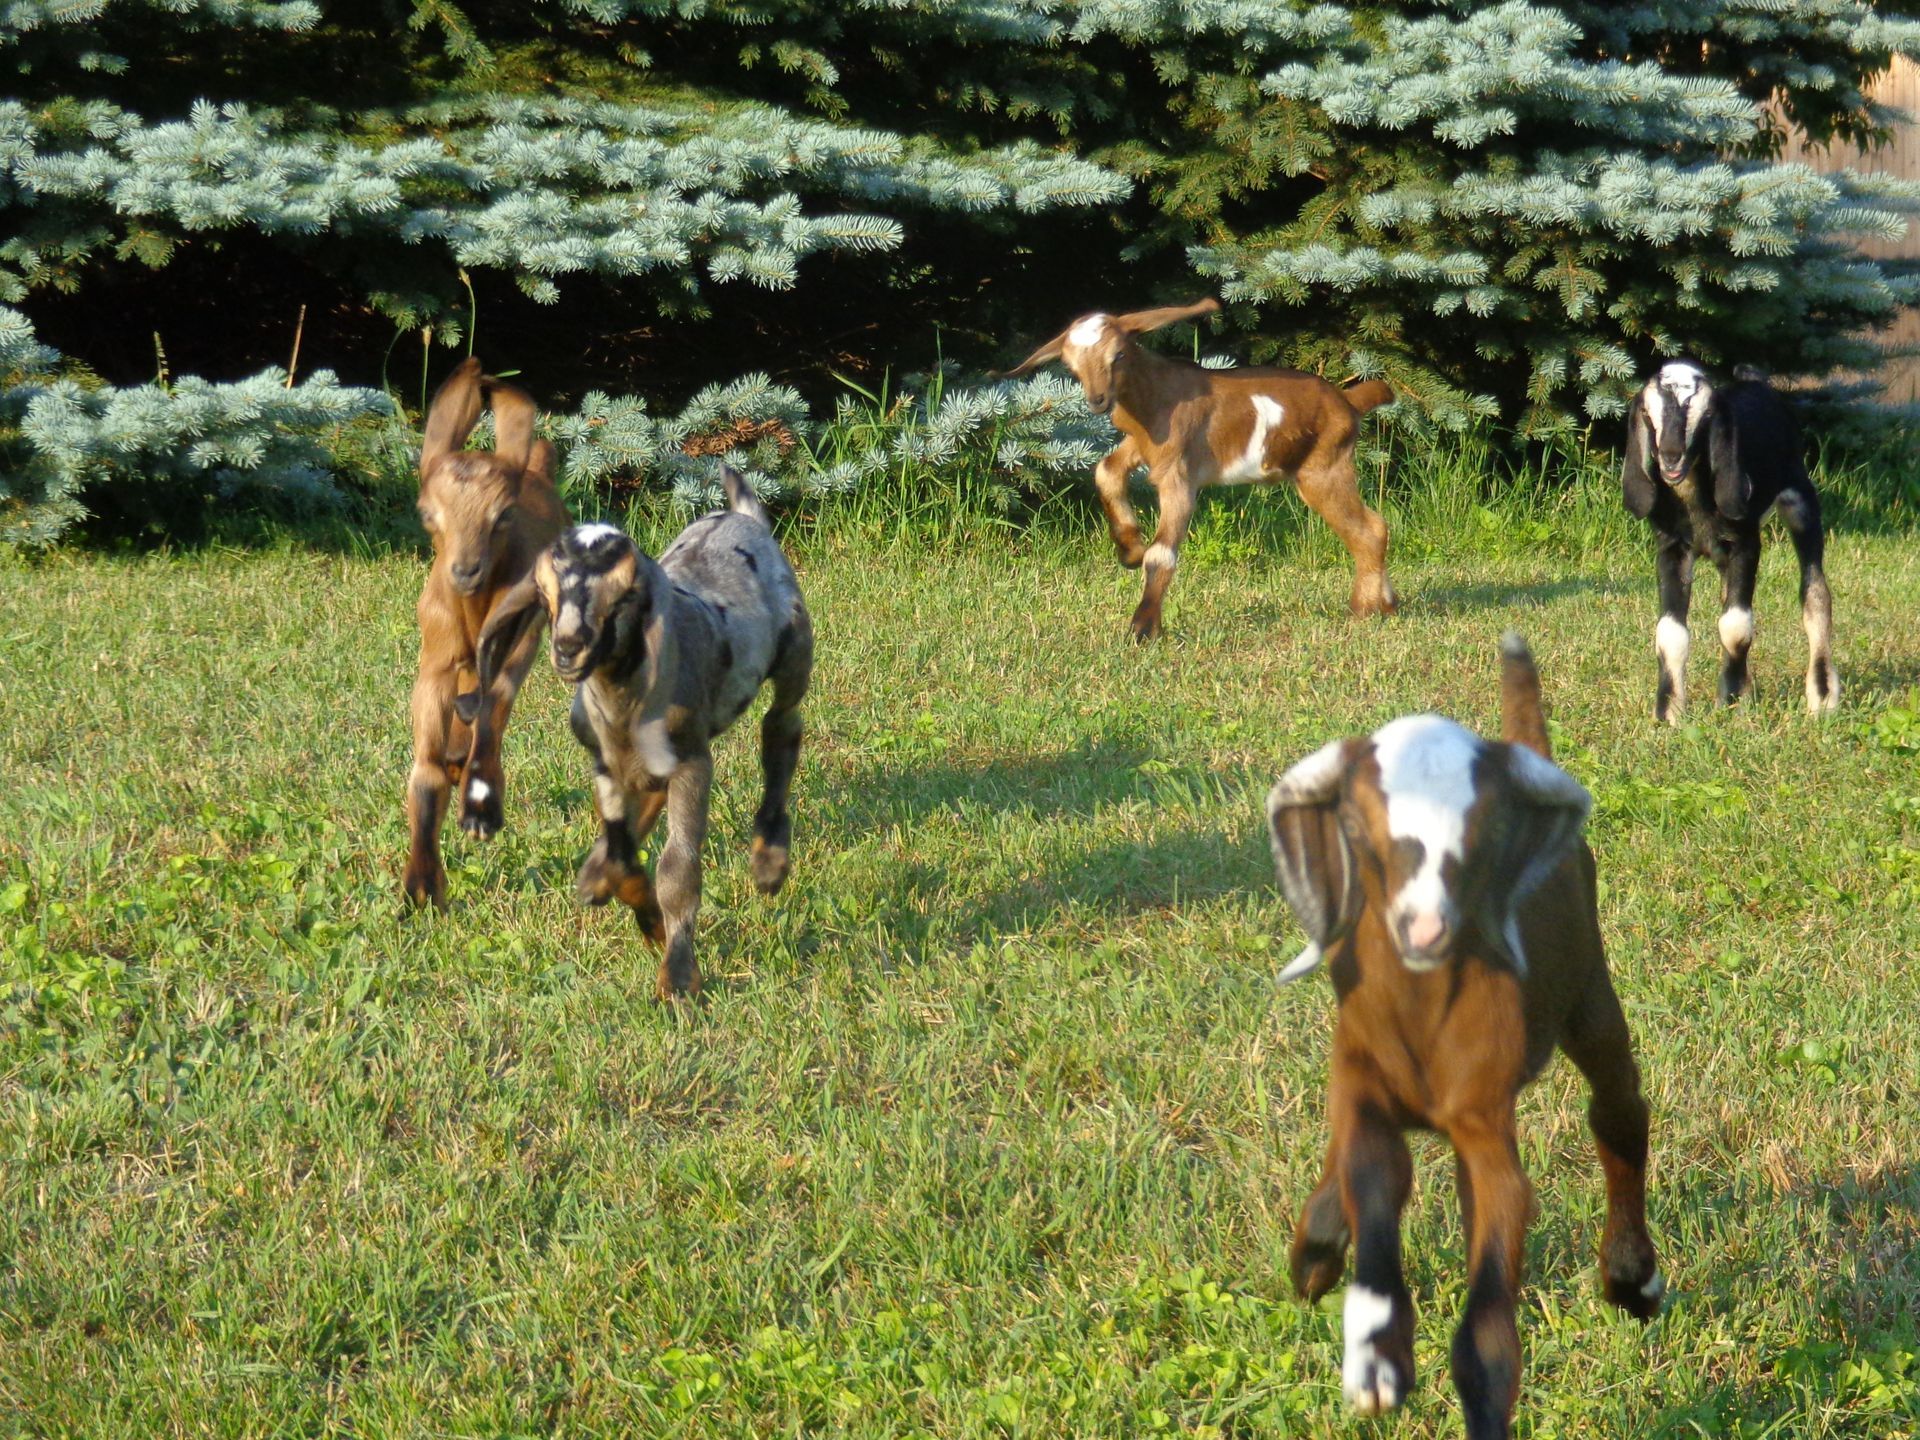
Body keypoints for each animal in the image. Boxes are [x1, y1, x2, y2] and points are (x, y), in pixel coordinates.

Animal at [403, 357, 567, 909]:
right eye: (427, 513)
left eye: (504, 515)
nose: (466, 571)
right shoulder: (436, 654)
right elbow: (426, 769)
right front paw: (422, 885)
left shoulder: (524, 632)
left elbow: (497, 701)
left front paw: (481, 810)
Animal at [474, 468, 812, 999]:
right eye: (545, 595)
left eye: (626, 597)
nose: (569, 647)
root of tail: (744, 514)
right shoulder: (605, 764)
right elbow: (621, 856)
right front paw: (644, 918)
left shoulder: (693, 761)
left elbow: (677, 869)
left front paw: (678, 976)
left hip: (795, 652)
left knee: (782, 730)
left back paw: (769, 862)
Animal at [1001, 297, 1397, 640]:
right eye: (1071, 367)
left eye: (1119, 354)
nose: (1097, 400)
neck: (1158, 394)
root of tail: (1349, 401)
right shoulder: (1143, 446)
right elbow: (1106, 470)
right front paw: (1129, 549)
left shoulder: (1178, 472)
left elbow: (1161, 554)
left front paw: (1142, 629)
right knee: (1373, 526)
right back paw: (1386, 603)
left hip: (1322, 469)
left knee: (1368, 530)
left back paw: (1363, 609)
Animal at [1266, 634, 1660, 1440]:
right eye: (1358, 827)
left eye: (1484, 829)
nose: (1425, 929)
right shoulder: (1363, 1078)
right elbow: (1373, 1177)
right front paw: (1375, 1352)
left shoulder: (1484, 1114)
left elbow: (1488, 1316)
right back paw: (1318, 1248)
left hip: (1589, 995)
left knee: (1618, 1111)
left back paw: (1630, 1274)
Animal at [1622, 360, 1838, 723]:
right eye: (1648, 413)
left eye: (1707, 413)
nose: (1671, 455)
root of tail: (1754, 379)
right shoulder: (1671, 549)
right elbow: (1670, 632)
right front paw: (1669, 711)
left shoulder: (1745, 544)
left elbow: (1736, 626)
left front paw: (1732, 701)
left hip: (1800, 500)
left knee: (1815, 592)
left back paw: (1822, 695)